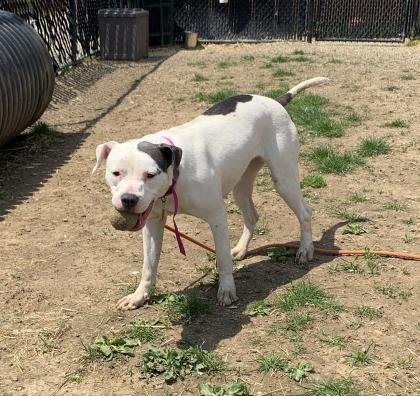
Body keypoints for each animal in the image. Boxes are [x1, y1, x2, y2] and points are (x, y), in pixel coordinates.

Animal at [94, 76, 328, 310]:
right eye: (116, 173)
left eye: (150, 174)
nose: (128, 199)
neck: (174, 178)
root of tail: (275, 101)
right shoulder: (153, 222)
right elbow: (148, 265)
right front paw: (139, 296)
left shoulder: (217, 217)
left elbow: (223, 258)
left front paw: (227, 290)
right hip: (241, 185)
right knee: (252, 215)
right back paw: (241, 249)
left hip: (284, 179)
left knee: (305, 212)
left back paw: (305, 250)